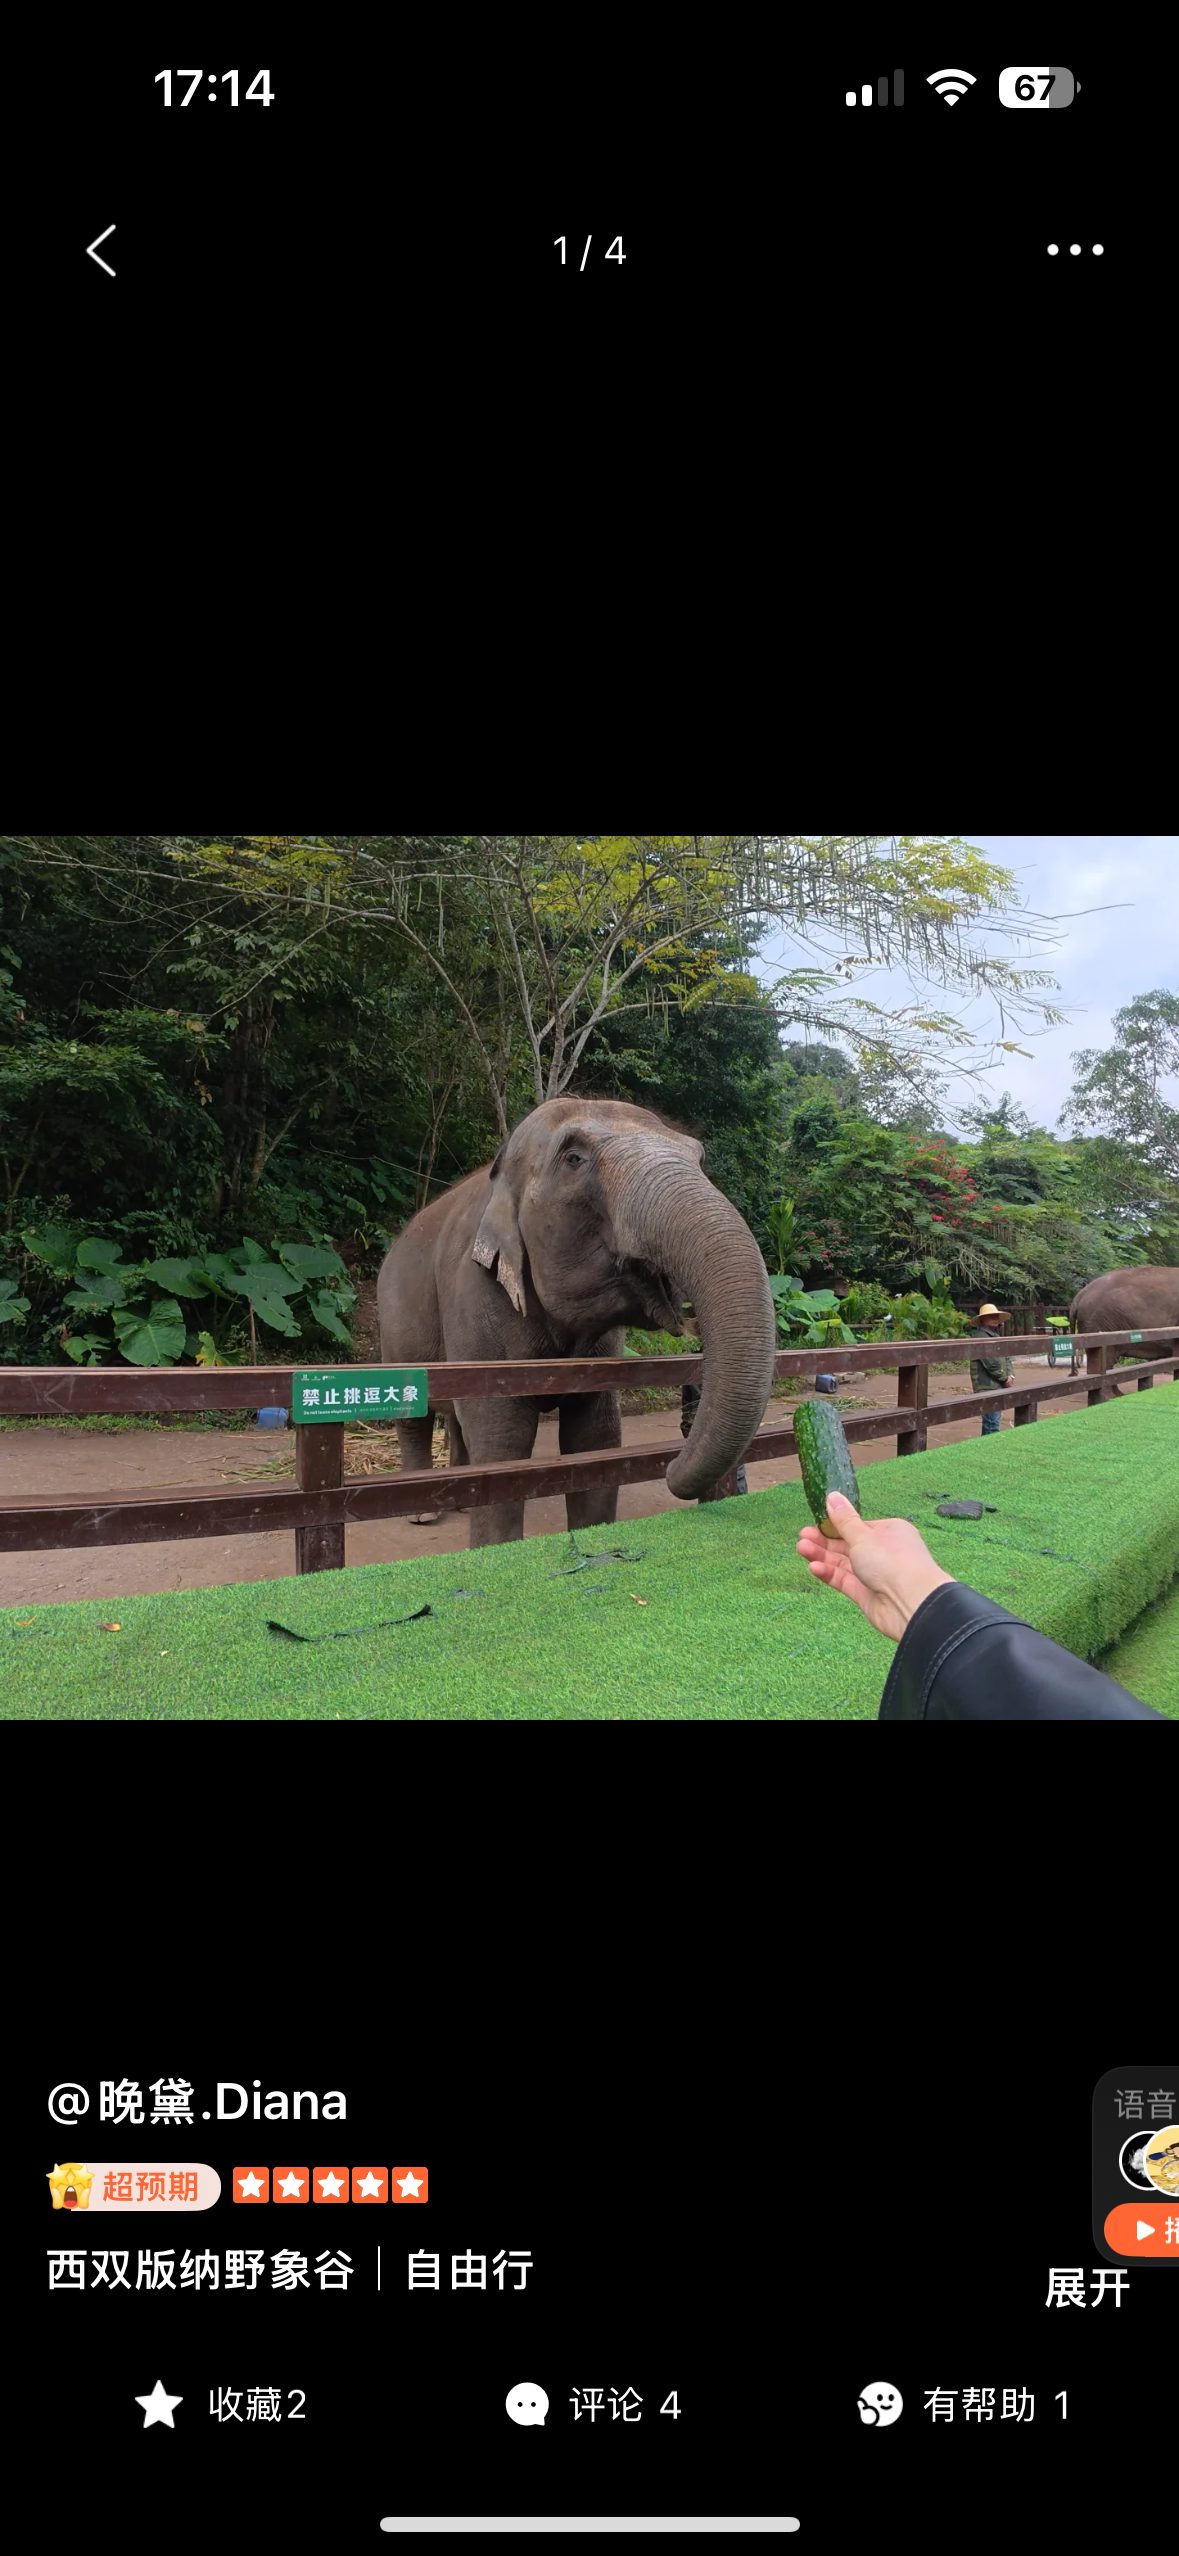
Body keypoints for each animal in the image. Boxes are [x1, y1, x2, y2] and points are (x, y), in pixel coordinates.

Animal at [376, 1095, 777, 1547]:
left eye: (699, 1156)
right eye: (573, 1158)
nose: (671, 1465)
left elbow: (594, 1433)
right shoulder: (473, 1290)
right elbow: (502, 1435)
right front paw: (494, 1545)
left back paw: (457, 1504)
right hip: (394, 1316)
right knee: (413, 1410)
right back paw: (422, 1514)